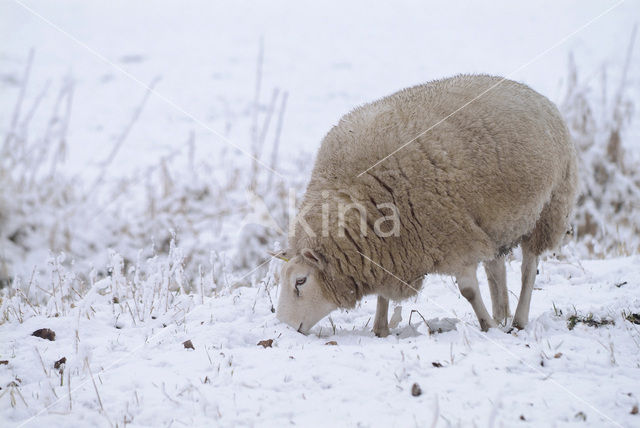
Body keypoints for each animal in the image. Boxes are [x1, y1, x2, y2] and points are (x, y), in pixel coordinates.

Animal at [276, 73, 580, 336]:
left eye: (300, 282)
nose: (286, 328)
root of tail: (532, 93)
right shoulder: (390, 249)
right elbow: (384, 294)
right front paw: (380, 329)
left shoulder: (453, 236)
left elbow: (469, 290)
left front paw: (487, 327)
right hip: (494, 224)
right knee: (496, 268)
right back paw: (501, 313)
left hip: (549, 208)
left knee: (529, 267)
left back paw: (516, 320)